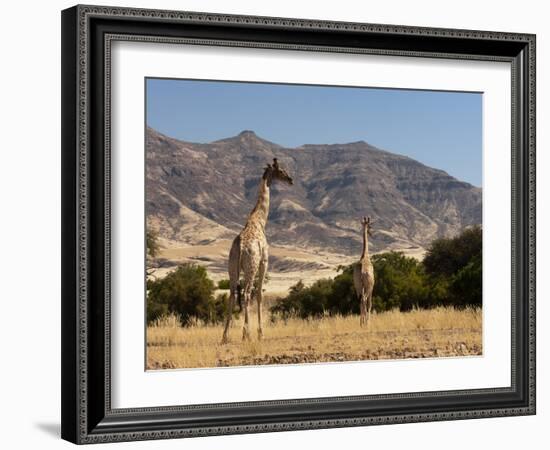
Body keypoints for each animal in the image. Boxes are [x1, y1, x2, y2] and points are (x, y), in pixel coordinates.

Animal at [222, 159, 296, 344]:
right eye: (281, 170)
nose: (291, 180)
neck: (259, 219)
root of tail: (241, 246)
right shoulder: (265, 262)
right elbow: (260, 295)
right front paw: (261, 333)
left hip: (232, 268)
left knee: (232, 294)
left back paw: (225, 336)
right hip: (252, 266)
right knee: (247, 293)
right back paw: (246, 334)